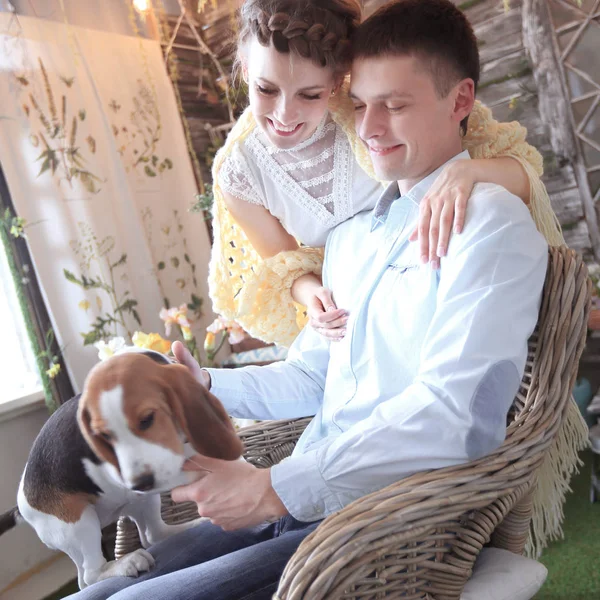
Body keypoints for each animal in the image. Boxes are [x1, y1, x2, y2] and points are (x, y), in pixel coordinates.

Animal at [11, 350, 243, 588]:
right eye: (104, 436)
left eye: (147, 419)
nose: (139, 483)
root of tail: (22, 503)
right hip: (80, 523)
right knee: (92, 573)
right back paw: (127, 563)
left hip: (142, 502)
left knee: (153, 535)